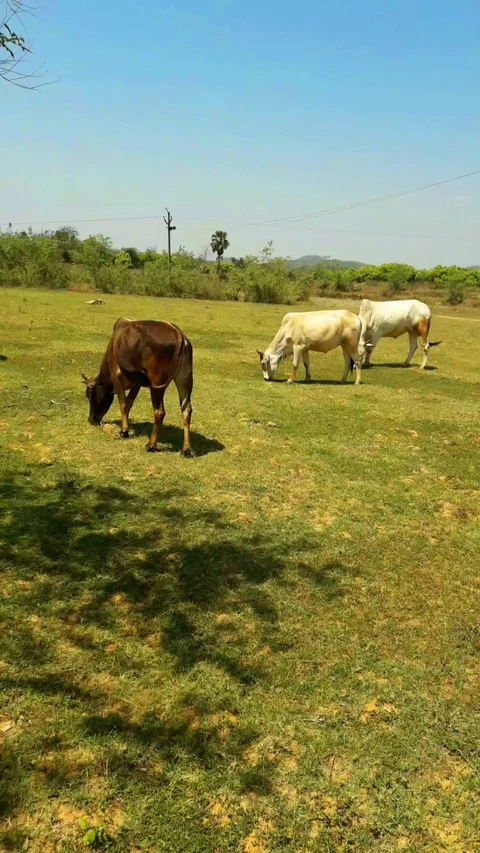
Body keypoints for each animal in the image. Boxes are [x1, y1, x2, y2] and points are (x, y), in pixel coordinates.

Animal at [82, 318, 193, 455]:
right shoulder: (136, 384)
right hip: (184, 380)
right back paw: (185, 449)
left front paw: (123, 432)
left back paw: (150, 445)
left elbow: (123, 403)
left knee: (159, 411)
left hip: (157, 385)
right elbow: (129, 402)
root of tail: (178, 334)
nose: (91, 419)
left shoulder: (116, 373)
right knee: (186, 410)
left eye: (89, 395)